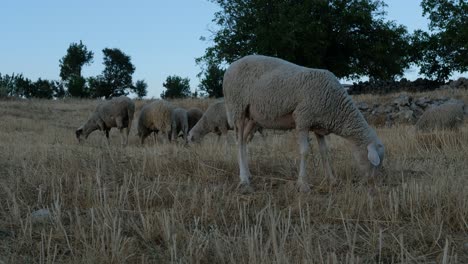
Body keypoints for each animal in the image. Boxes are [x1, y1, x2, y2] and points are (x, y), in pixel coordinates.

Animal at [223, 54, 384, 193]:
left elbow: (325, 152)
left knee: (243, 141)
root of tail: (231, 66)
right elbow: (305, 151)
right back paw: (244, 179)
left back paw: (248, 173)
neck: (336, 107)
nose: (374, 183)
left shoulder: (319, 126)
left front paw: (331, 180)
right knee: (239, 142)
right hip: (237, 108)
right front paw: (303, 184)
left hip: (252, 117)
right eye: (374, 163)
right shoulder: (302, 119)